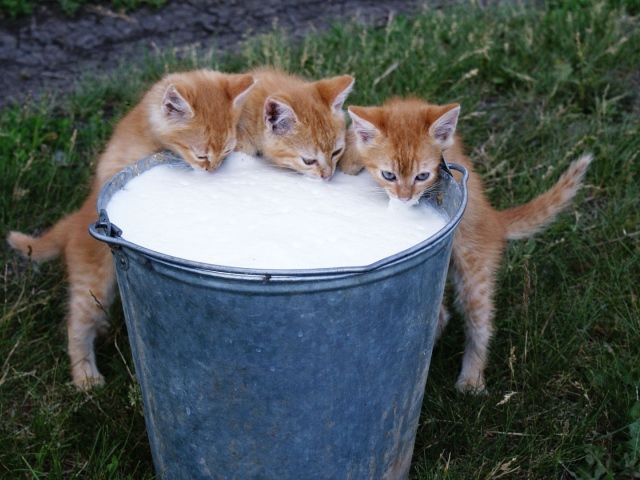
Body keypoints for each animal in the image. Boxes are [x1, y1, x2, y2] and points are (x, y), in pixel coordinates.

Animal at [6, 68, 255, 390]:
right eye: (201, 155)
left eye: (225, 152)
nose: (212, 170)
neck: (147, 130)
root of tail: (75, 221)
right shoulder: (118, 165)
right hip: (94, 282)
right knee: (76, 324)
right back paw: (85, 376)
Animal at [342, 97, 592, 394]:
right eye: (389, 175)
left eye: (422, 176)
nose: (404, 198)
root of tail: (496, 222)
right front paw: (349, 154)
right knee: (442, 315)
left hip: (474, 272)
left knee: (480, 322)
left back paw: (472, 376)